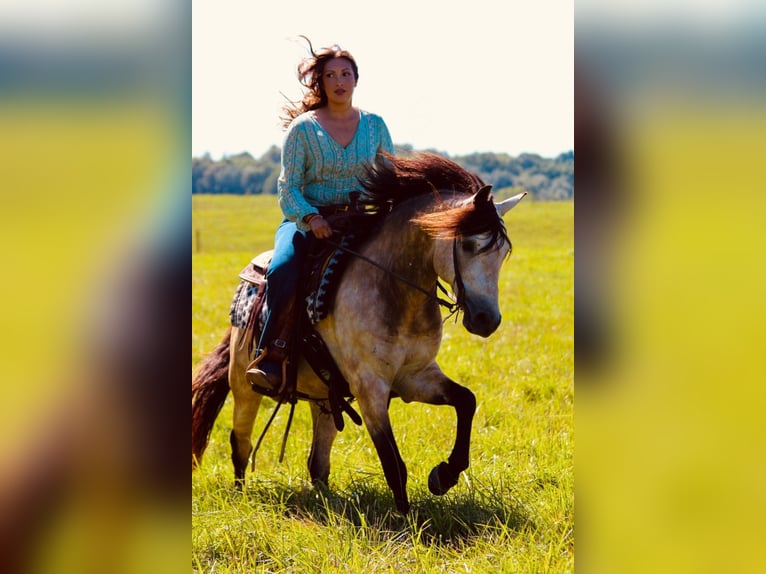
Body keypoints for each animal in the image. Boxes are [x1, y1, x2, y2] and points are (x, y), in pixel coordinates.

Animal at [194, 152, 528, 512]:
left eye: (502, 252)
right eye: (467, 244)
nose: (486, 319)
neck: (394, 290)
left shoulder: (415, 376)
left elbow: (466, 401)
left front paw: (444, 475)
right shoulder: (370, 388)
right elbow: (394, 464)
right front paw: (406, 520)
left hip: (323, 398)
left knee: (317, 462)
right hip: (244, 385)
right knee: (240, 442)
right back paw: (242, 497)